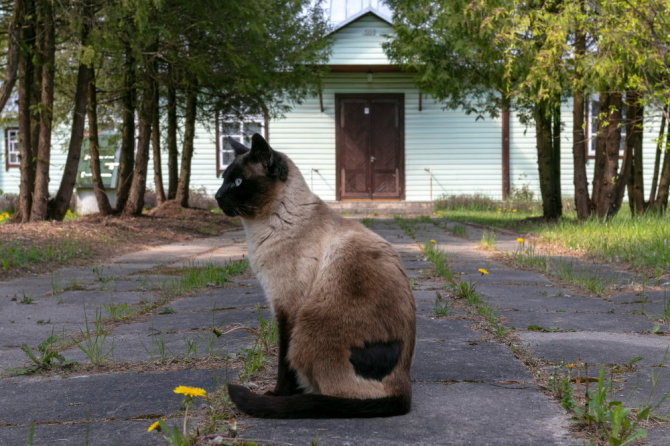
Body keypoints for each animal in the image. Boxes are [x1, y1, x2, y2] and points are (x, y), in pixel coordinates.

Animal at [217, 132, 414, 418]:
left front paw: (278, 394)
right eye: (224, 179)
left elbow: (283, 363)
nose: (217, 196)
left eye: (239, 182)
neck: (260, 230)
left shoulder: (287, 309)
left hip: (306, 328)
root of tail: (404, 392)